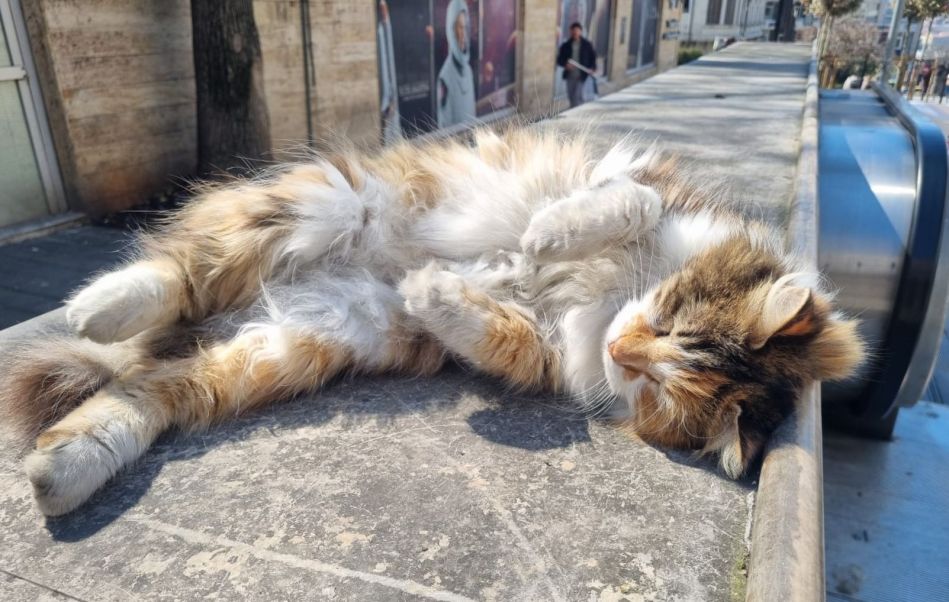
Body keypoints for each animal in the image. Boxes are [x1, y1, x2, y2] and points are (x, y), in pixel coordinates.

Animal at [0, 125, 865, 516]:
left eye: (655, 388)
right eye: (668, 327)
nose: (621, 349)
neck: (612, 299)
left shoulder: (537, 349)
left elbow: (490, 327)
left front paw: (438, 290)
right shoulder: (644, 184)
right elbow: (628, 202)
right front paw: (545, 235)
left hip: (302, 341)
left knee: (155, 391)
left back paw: (62, 472)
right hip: (327, 202)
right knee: (179, 273)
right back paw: (100, 305)